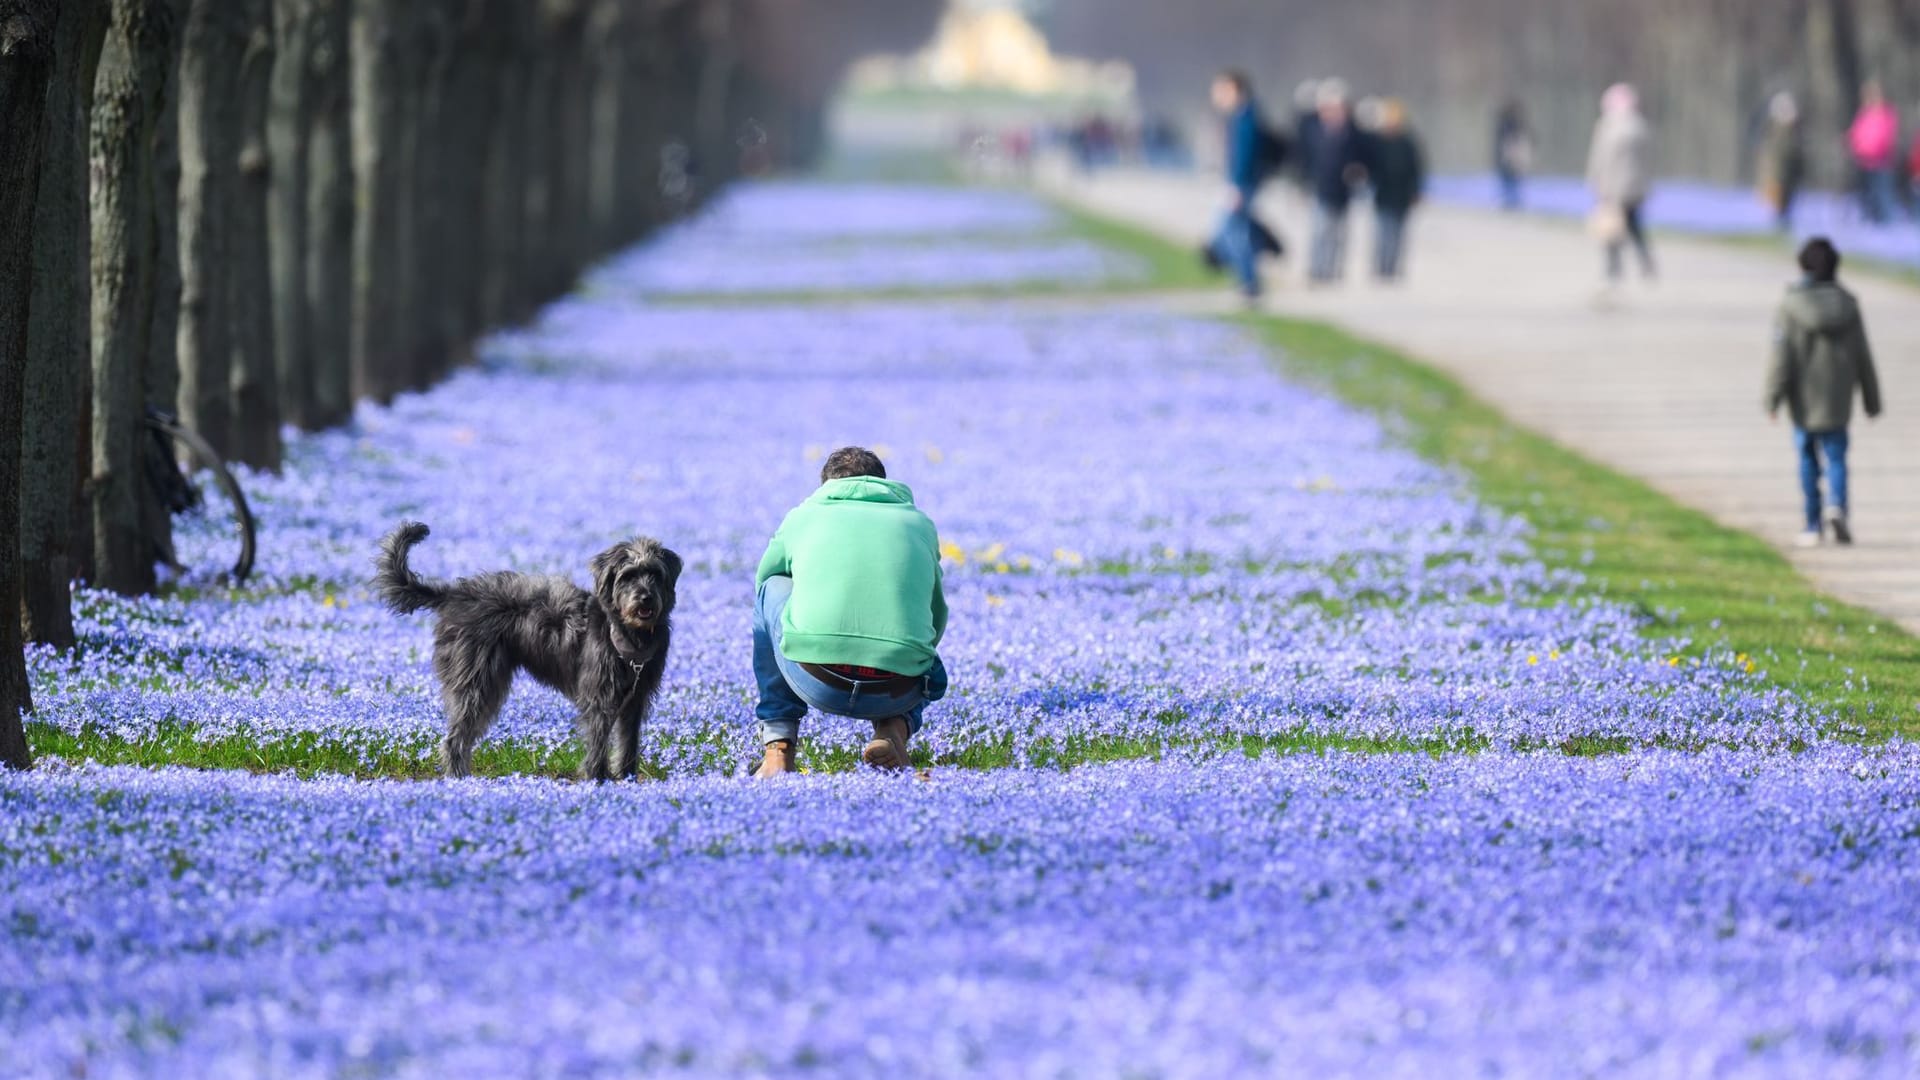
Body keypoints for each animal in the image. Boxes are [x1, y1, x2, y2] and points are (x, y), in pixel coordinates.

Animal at [370, 518, 679, 776]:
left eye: (655, 574)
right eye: (628, 575)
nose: (645, 598)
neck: (628, 633)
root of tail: (452, 595)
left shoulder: (635, 700)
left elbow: (628, 743)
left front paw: (627, 778)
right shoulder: (600, 698)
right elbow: (598, 742)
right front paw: (598, 779)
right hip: (476, 682)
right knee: (454, 738)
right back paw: (459, 779)